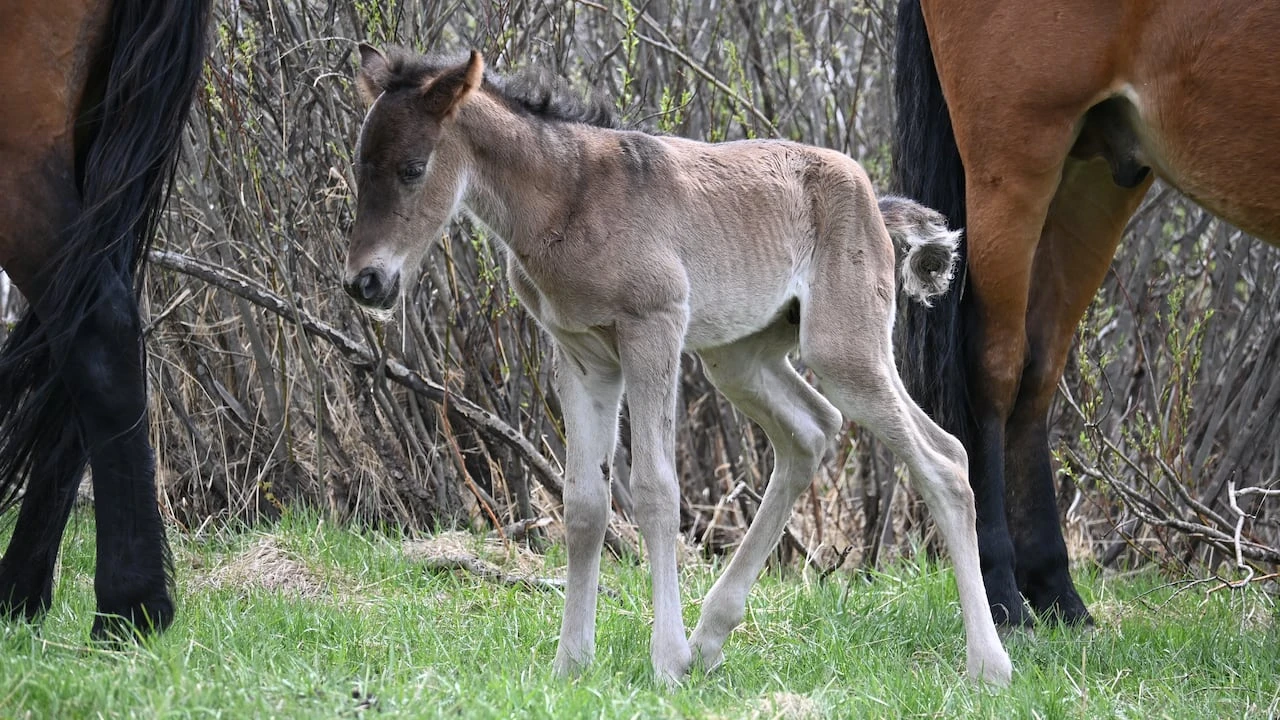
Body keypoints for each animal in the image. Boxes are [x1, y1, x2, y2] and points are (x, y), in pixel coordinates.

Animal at [343, 45, 1012, 686]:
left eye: (412, 168)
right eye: (359, 165)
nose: (365, 283)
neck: (567, 200)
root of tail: (873, 196)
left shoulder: (652, 329)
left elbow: (657, 490)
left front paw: (663, 662)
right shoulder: (580, 354)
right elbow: (584, 504)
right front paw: (571, 665)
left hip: (843, 348)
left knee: (943, 458)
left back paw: (989, 665)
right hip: (736, 356)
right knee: (812, 431)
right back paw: (709, 640)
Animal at [893, 0, 1280, 628]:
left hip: (1096, 174)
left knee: (1038, 369)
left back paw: (1057, 592)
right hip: (1016, 160)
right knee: (994, 368)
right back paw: (1001, 594)